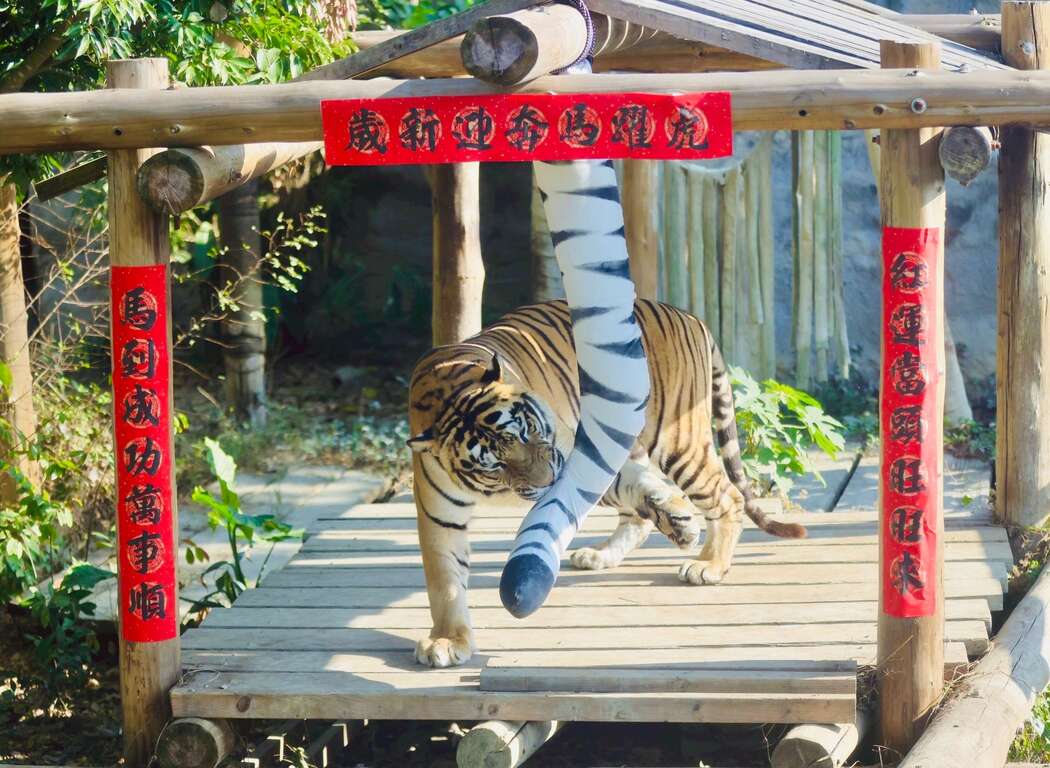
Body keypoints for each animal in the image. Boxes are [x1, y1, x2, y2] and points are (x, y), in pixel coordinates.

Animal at [407, 299, 806, 668]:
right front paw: (447, 640)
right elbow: (445, 582)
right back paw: (606, 552)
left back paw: (708, 564)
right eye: (494, 466)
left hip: (678, 440)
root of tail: (688, 315)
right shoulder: (440, 516)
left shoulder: (576, 453)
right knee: (639, 516)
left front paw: (678, 518)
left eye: (526, 430)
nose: (549, 478)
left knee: (728, 497)